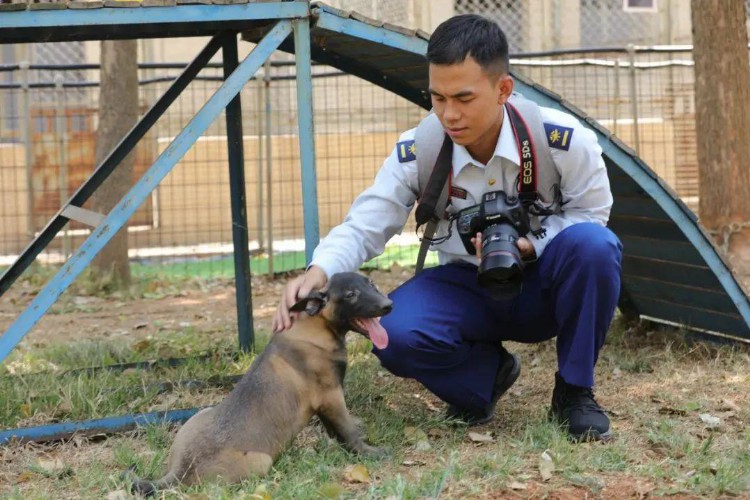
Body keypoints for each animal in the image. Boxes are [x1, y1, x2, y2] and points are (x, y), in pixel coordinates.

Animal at [128, 272, 394, 494]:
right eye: (350, 295)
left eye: (371, 284)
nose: (388, 305)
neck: (317, 326)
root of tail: (179, 470)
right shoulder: (331, 395)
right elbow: (348, 431)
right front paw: (370, 452)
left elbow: (337, 430)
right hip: (261, 460)